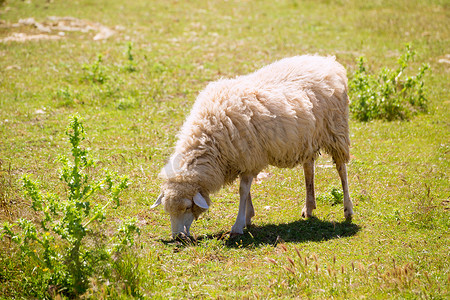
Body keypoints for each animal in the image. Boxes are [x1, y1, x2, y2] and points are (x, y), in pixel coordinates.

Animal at [153, 55, 354, 238]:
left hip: (337, 130)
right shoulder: (243, 158)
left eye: (188, 207)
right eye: (168, 211)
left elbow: (243, 191)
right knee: (309, 169)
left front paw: (238, 225)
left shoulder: (249, 156)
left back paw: (348, 210)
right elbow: (246, 190)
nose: (178, 237)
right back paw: (309, 207)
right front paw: (247, 217)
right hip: (308, 138)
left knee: (341, 169)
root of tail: (328, 61)